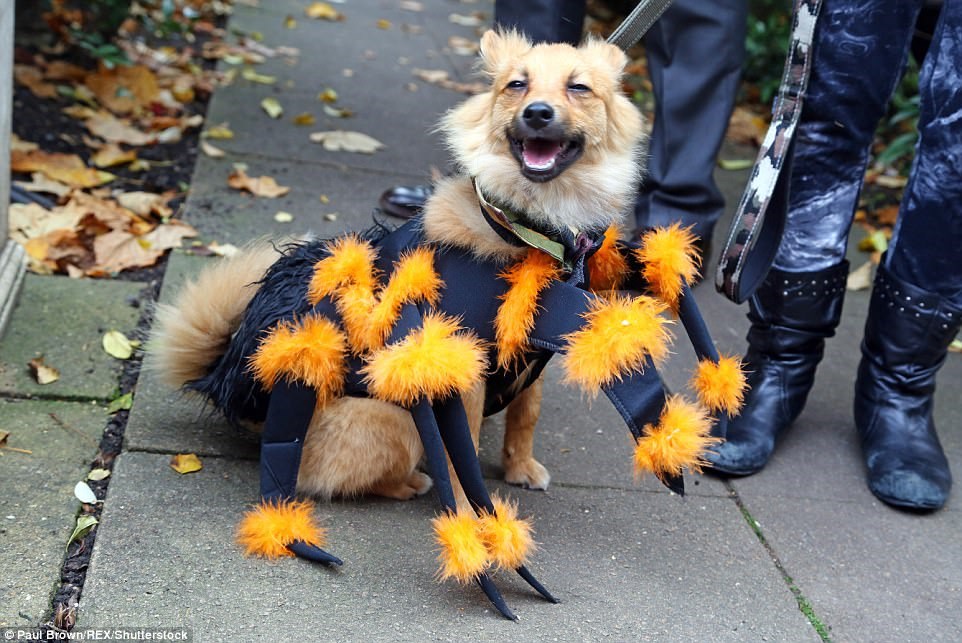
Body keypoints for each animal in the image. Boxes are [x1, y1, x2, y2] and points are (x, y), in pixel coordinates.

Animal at [150, 30, 744, 620]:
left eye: (579, 88)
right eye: (516, 85)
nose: (537, 112)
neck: (530, 228)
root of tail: (244, 401)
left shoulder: (534, 356)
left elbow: (525, 418)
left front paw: (520, 469)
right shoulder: (467, 376)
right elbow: (464, 458)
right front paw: (472, 515)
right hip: (394, 420)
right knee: (333, 479)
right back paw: (413, 482)